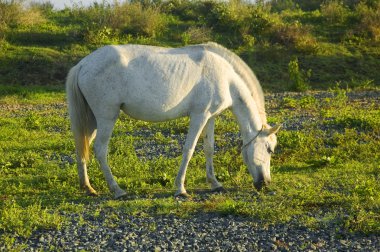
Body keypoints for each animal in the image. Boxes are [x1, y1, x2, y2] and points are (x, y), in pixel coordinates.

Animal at [65, 41, 280, 199]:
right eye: (269, 149)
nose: (265, 183)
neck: (226, 78)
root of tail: (83, 64)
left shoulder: (210, 117)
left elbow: (209, 148)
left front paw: (215, 183)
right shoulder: (199, 116)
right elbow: (189, 150)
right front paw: (181, 189)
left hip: (92, 121)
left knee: (82, 147)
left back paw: (87, 187)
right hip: (106, 117)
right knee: (100, 150)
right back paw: (117, 190)